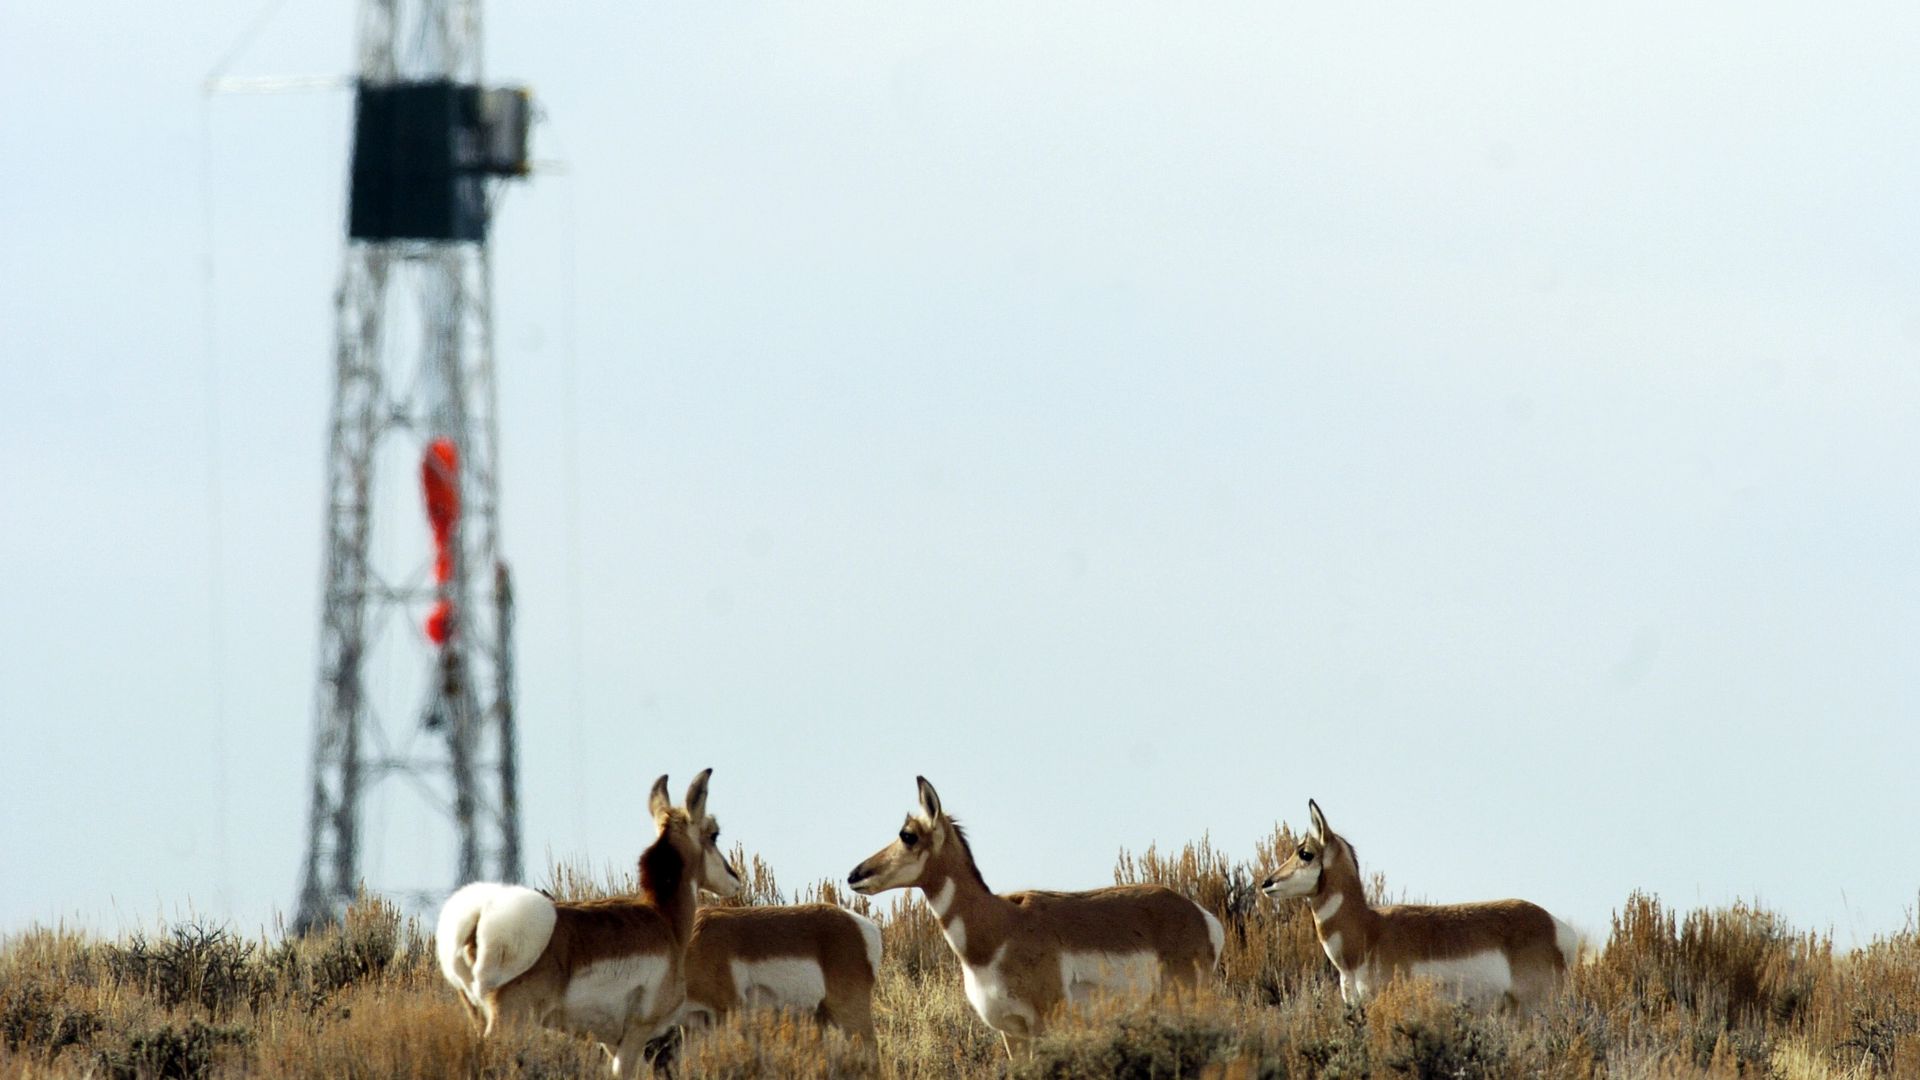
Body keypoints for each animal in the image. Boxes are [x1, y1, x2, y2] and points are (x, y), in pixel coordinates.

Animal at [436, 769, 743, 1077]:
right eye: (713, 834)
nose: (735, 878)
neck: (663, 918)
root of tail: (479, 916)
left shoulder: (609, 1041)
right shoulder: (636, 1033)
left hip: (480, 1017)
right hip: (511, 1021)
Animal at [848, 776, 1223, 1055]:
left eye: (908, 835)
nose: (855, 875)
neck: (999, 928)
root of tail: (1199, 914)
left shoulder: (1044, 1024)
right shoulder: (1012, 1032)